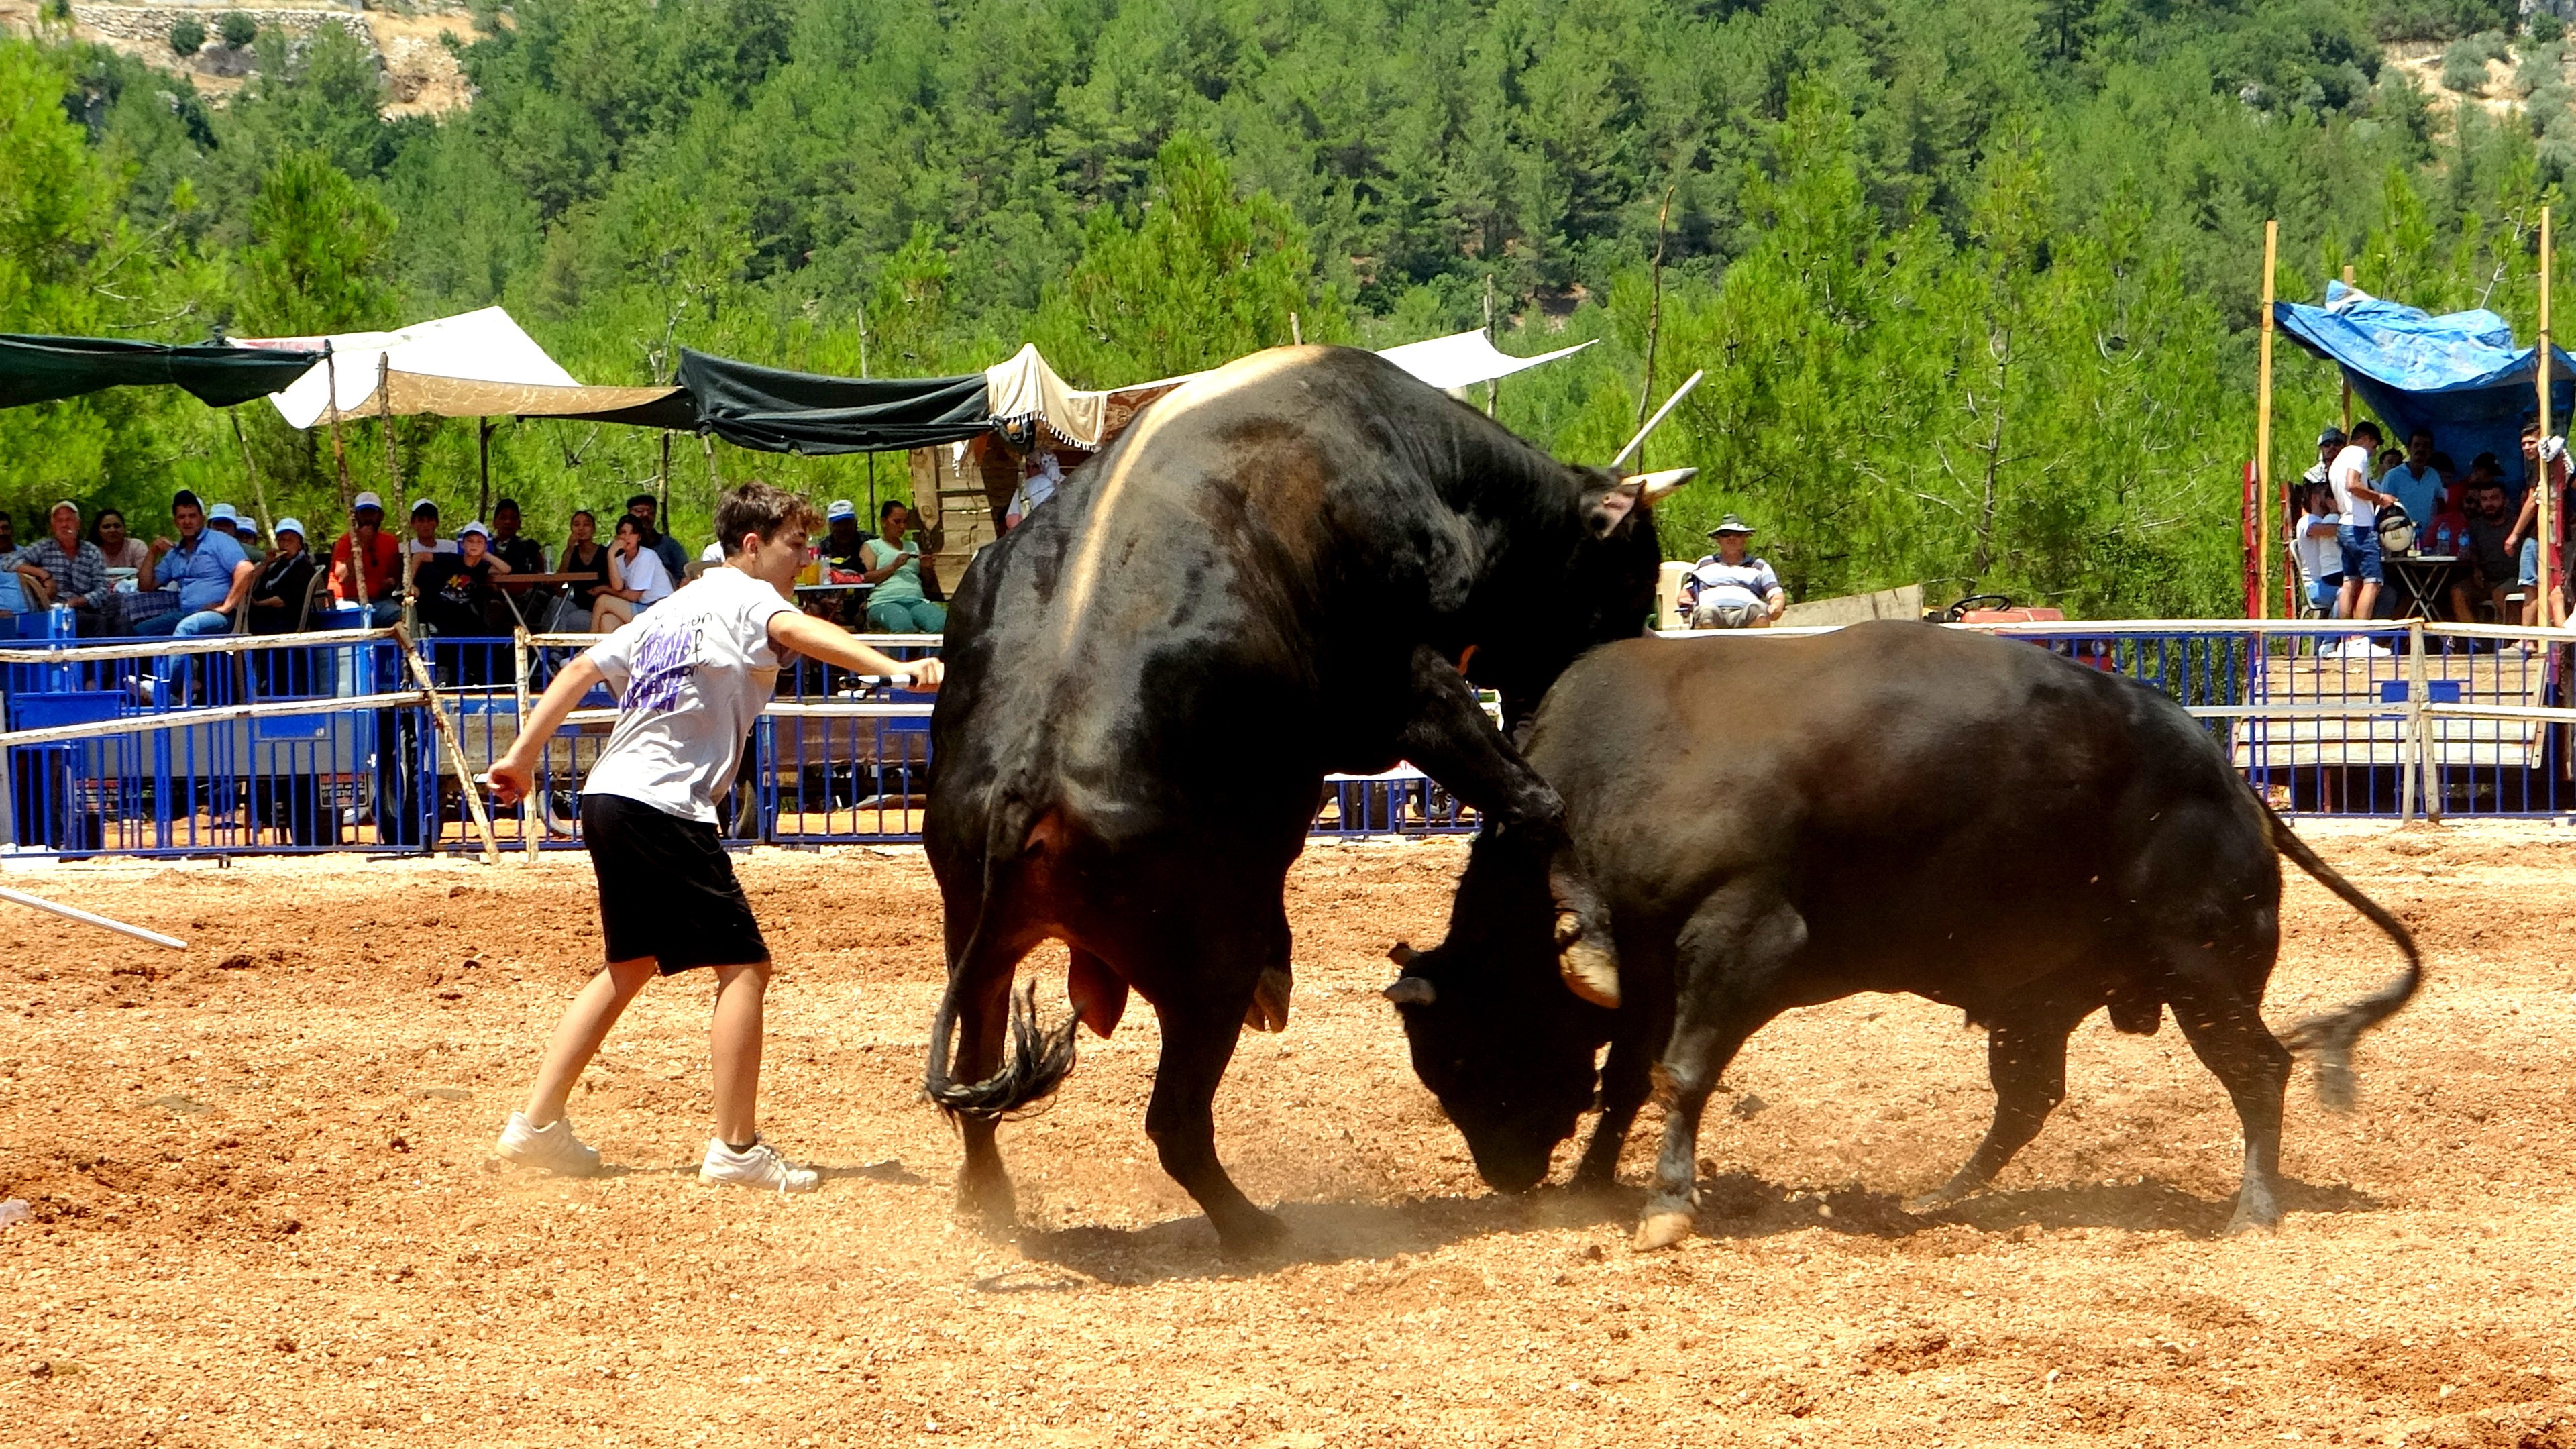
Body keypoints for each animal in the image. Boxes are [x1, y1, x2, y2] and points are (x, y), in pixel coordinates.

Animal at [917, 340, 1679, 1242]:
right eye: (1631, 575)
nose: (1615, 667)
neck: (1430, 470)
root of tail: (1024, 789)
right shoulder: (1409, 691)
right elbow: (1535, 802)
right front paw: (1589, 942)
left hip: (979, 946)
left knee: (978, 1085)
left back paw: (990, 1201)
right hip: (1207, 963)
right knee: (1175, 1121)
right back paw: (1253, 1227)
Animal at [1391, 621, 2411, 1242]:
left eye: (1467, 1054)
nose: (1504, 1174)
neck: (1609, 777)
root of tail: (2231, 779)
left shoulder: (1743, 937)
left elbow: (1679, 1073)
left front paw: (1668, 1205)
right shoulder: (1648, 970)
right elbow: (1627, 1082)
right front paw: (1595, 1180)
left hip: (2205, 971)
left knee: (2259, 1071)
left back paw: (2253, 1208)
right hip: (2042, 1000)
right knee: (2028, 1099)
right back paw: (1935, 1199)